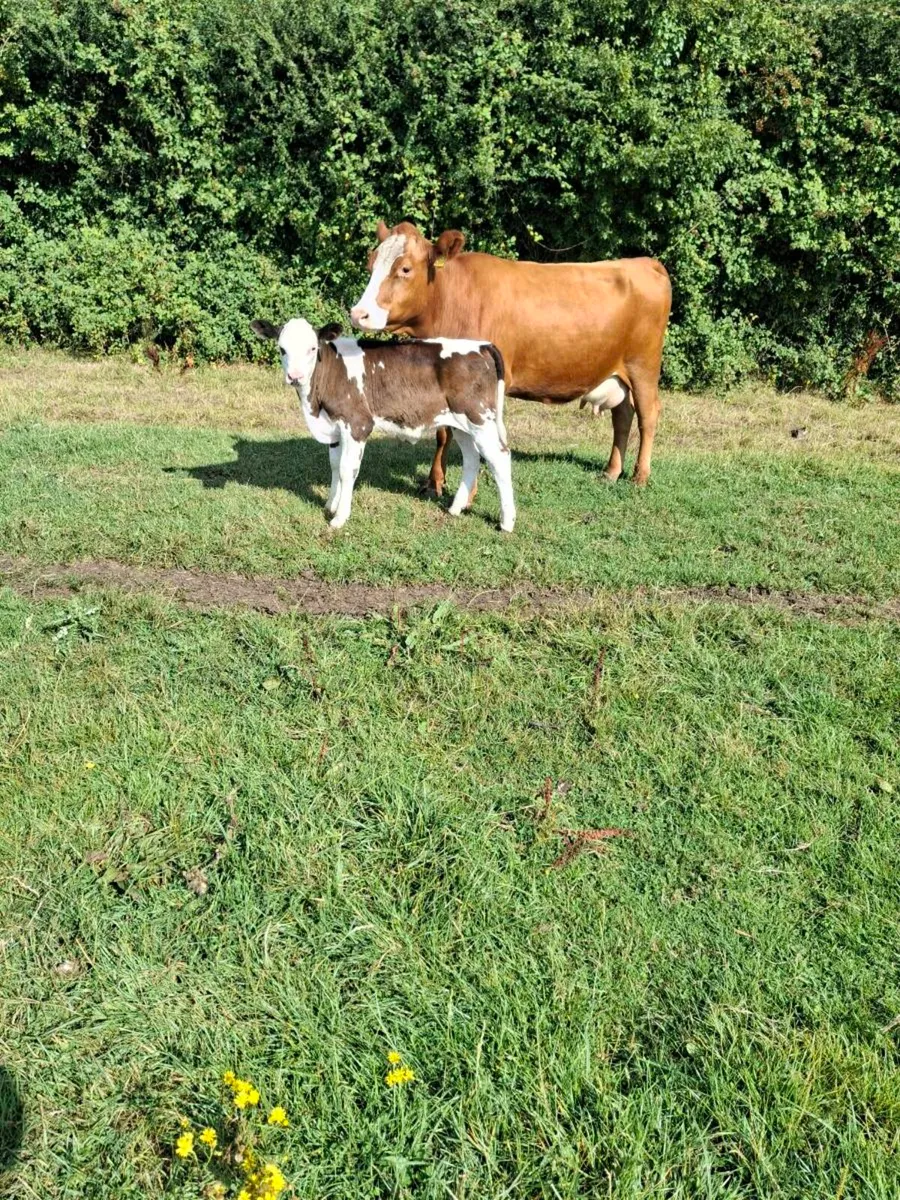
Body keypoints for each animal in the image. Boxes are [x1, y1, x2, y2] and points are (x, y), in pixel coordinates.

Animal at [251, 317, 515, 532]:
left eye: (312, 348)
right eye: (282, 349)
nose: (295, 377)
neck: (315, 405)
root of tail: (482, 345)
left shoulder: (358, 424)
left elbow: (347, 470)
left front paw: (339, 517)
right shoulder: (334, 427)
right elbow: (334, 466)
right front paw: (330, 505)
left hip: (479, 416)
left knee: (500, 457)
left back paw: (507, 522)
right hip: (461, 423)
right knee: (471, 459)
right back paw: (455, 508)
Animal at [351, 221, 671, 496]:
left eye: (404, 268)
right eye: (371, 263)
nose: (358, 313)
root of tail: (643, 262)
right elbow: (443, 433)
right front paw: (434, 483)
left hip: (643, 366)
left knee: (647, 415)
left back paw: (640, 476)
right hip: (617, 371)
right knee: (623, 416)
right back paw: (611, 471)